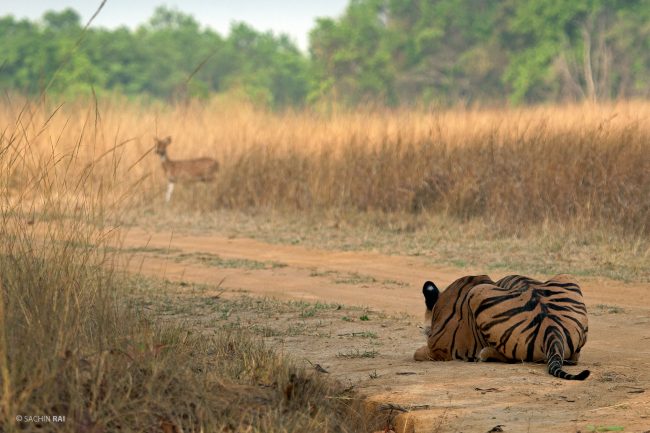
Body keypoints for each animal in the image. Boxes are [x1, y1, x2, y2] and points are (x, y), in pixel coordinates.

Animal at [413, 274, 590, 380]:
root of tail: (552, 329)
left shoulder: (438, 348)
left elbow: (417, 353)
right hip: (567, 276)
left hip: (477, 292)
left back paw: (484, 354)